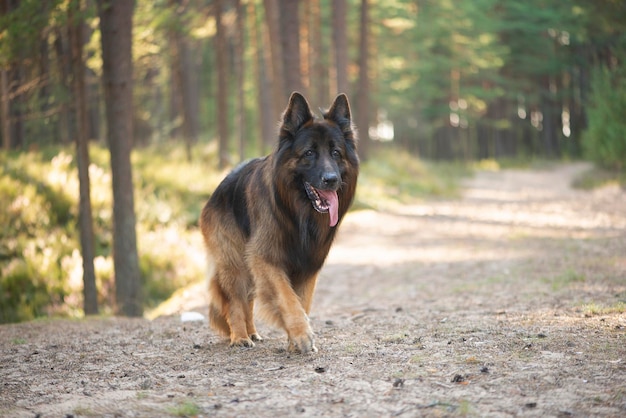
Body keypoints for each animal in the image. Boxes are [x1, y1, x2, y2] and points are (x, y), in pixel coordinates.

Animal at [199, 92, 356, 352]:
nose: (331, 180)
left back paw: (252, 332)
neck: (299, 213)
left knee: (249, 299)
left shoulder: (308, 264)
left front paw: (294, 340)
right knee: (236, 300)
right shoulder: (267, 258)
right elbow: (287, 297)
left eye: (336, 153)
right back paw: (239, 336)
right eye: (309, 153)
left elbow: (302, 301)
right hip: (234, 263)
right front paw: (301, 335)